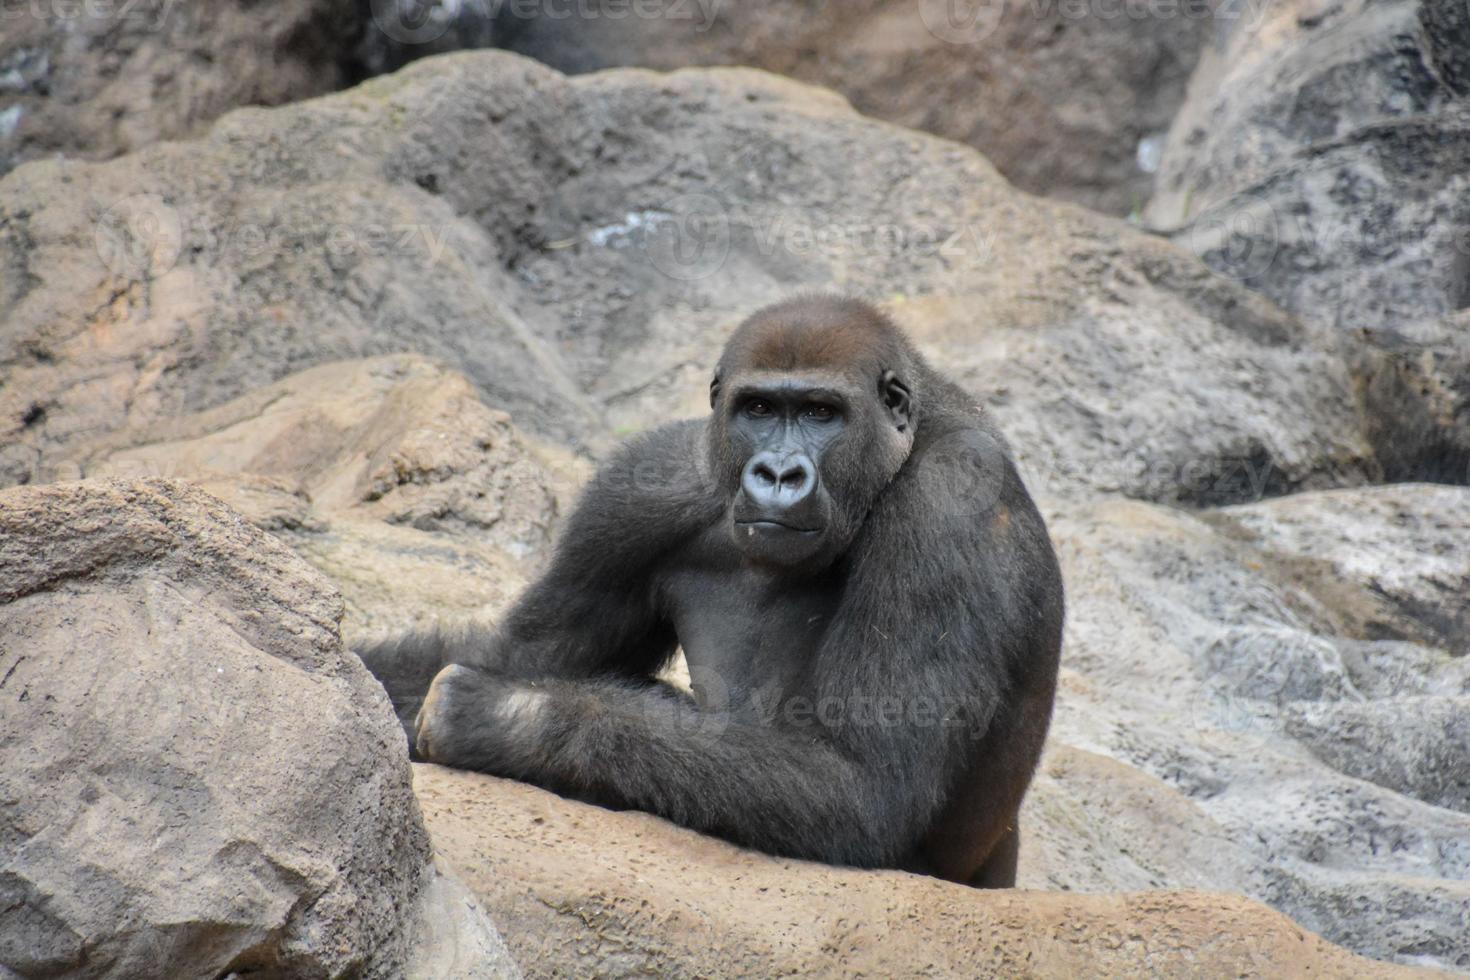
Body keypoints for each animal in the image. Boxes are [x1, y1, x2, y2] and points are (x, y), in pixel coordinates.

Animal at [361, 295, 1064, 887]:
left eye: (821, 413)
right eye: (759, 409)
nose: (777, 473)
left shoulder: (950, 502)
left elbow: (866, 786)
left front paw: (506, 717)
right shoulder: (641, 486)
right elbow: (525, 652)